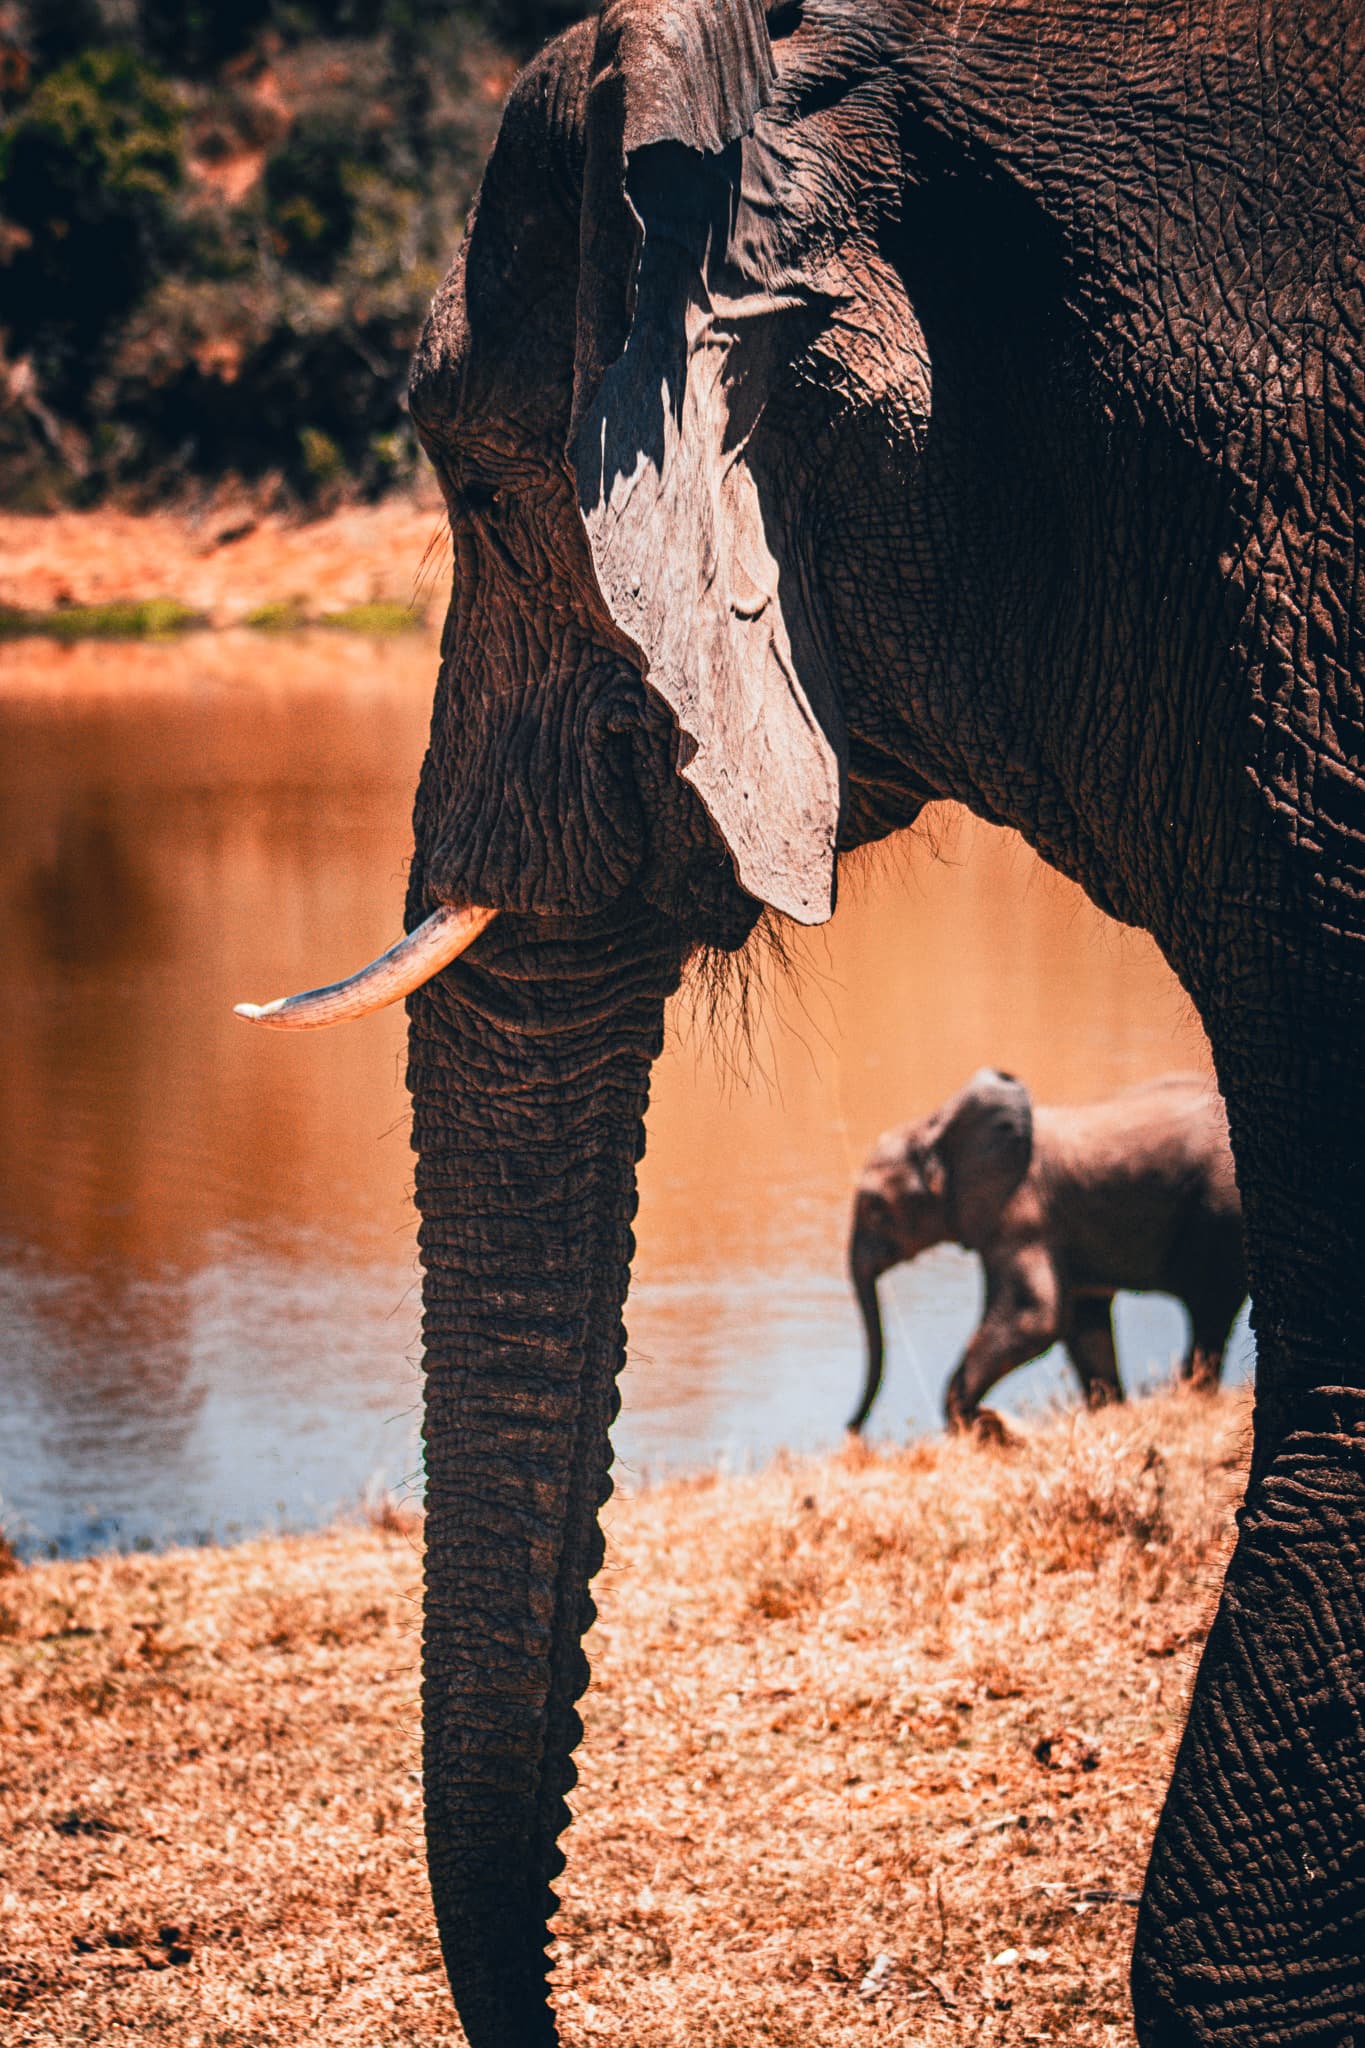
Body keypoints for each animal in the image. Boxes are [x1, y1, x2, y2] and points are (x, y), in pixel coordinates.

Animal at [848, 1067, 1247, 1432]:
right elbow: (1084, 1324)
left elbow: (1033, 1317)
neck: (937, 1130)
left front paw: (979, 1429)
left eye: (874, 1207)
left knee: (1210, 1304)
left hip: (1221, 1215)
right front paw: (1108, 1415)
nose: (851, 1430)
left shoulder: (1022, 1215)